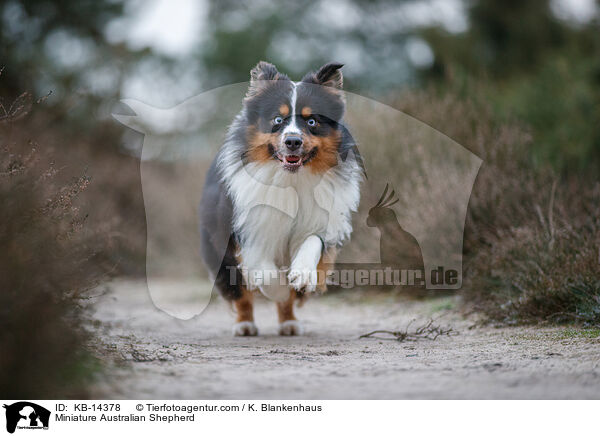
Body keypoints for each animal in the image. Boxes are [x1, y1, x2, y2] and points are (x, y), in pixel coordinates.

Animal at [200, 61, 360, 336]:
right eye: (277, 119)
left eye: (312, 121)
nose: (293, 141)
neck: (291, 181)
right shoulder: (247, 229)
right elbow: (264, 274)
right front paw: (279, 289)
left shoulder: (322, 220)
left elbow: (312, 243)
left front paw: (302, 276)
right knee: (240, 294)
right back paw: (244, 325)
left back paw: (289, 322)